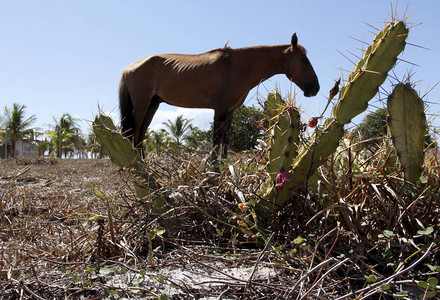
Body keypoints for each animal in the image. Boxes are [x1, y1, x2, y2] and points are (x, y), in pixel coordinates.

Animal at [119, 33, 320, 169]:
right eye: (303, 60)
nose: (315, 88)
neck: (238, 67)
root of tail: (128, 68)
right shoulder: (220, 110)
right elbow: (216, 143)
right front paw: (214, 171)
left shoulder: (230, 111)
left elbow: (225, 143)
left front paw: (223, 168)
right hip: (142, 105)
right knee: (133, 133)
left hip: (152, 105)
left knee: (140, 136)